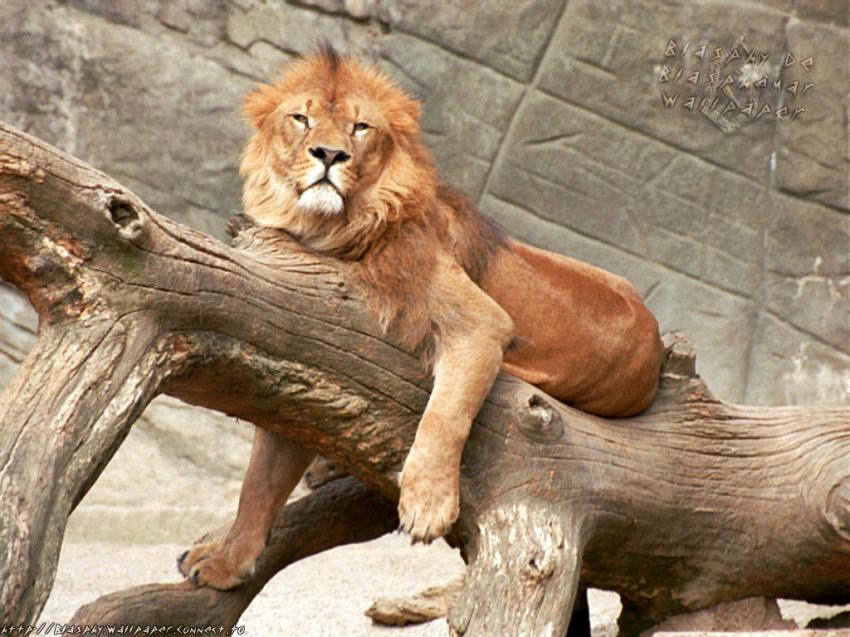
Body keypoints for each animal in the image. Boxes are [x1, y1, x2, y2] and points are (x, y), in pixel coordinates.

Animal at [178, 45, 663, 590]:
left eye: (360, 127)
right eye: (301, 119)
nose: (329, 155)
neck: (328, 228)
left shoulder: (482, 324)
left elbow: (444, 417)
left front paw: (428, 503)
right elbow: (258, 483)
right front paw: (226, 563)